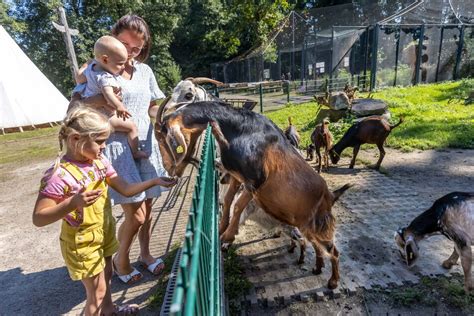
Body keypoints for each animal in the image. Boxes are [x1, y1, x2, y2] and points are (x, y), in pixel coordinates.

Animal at [156, 100, 352, 288]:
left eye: (166, 138)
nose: (170, 170)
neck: (240, 130)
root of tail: (331, 196)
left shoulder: (256, 181)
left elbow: (238, 206)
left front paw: (227, 236)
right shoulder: (237, 177)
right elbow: (228, 200)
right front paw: (221, 227)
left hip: (320, 224)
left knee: (333, 251)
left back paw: (333, 282)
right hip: (305, 225)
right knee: (317, 246)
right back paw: (318, 268)